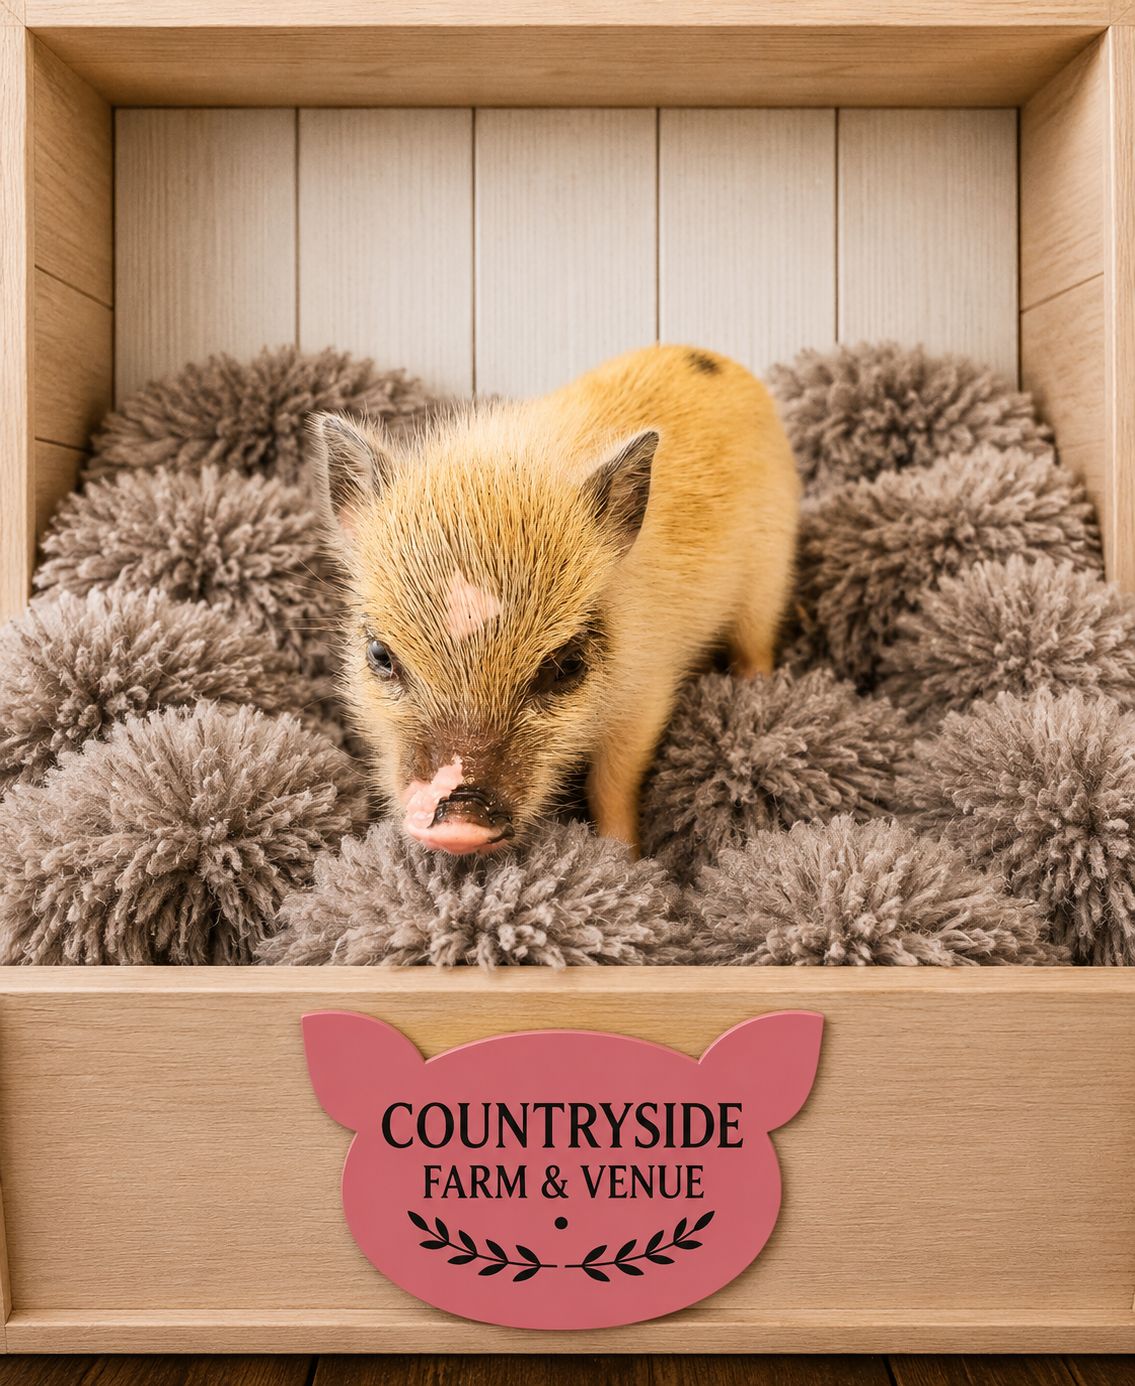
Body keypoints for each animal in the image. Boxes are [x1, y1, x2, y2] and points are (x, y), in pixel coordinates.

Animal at [309, 344, 800, 856]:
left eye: (565, 666)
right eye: (380, 655)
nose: (458, 825)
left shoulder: (645, 696)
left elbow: (612, 785)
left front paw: (625, 856)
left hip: (769, 577)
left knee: (757, 647)